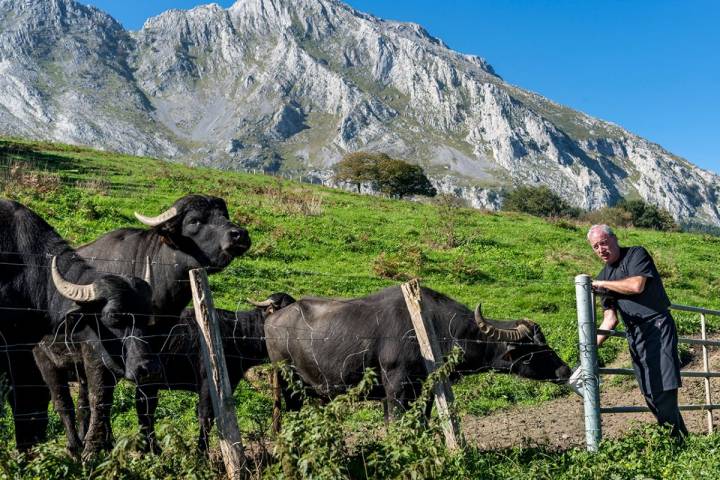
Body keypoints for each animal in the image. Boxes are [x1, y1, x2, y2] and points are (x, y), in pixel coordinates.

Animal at [262, 284, 568, 420]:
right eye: (533, 346)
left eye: (544, 340)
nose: (565, 369)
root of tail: (273, 318)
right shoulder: (396, 388)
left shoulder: (427, 389)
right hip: (288, 383)